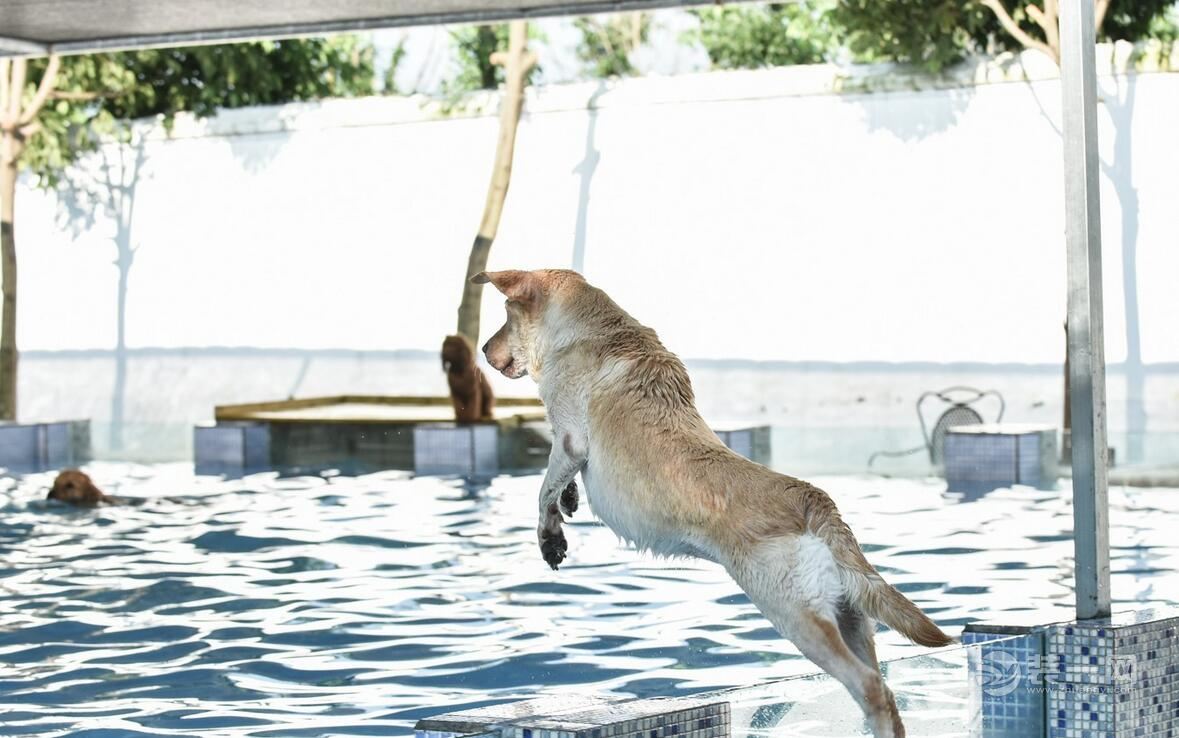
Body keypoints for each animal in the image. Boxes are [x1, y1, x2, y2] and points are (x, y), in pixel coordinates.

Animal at [473, 268, 952, 735]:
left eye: (506, 315)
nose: (482, 348)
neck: (592, 328)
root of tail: (816, 502)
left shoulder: (570, 438)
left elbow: (543, 491)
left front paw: (551, 540)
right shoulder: (568, 446)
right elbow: (558, 484)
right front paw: (570, 501)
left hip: (795, 614)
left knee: (869, 686)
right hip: (851, 617)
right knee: (882, 685)